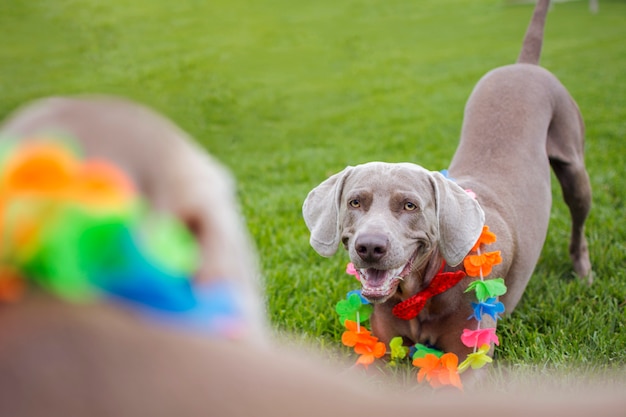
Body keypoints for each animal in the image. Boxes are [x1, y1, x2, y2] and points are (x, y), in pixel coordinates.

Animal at [302, 0, 588, 362]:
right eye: (355, 202)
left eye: (410, 206)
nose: (369, 247)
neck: (422, 291)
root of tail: (523, 65)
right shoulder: (379, 348)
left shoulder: (470, 351)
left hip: (574, 165)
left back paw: (584, 273)